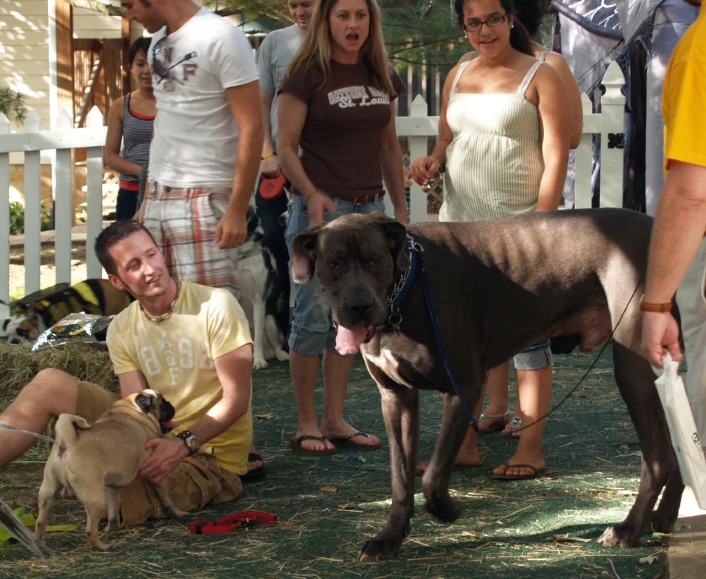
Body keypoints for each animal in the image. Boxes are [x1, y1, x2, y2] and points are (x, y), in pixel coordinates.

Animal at [33, 392, 187, 552]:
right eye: (162, 402)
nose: (170, 404)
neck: (132, 410)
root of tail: (70, 442)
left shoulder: (111, 489)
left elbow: (113, 512)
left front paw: (112, 528)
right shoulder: (156, 474)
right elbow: (166, 498)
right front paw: (177, 513)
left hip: (48, 491)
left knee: (41, 521)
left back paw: (40, 543)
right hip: (95, 499)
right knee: (90, 530)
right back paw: (102, 547)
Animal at [234, 210, 288, 372]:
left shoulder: (259, 300)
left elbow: (257, 337)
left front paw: (258, 361)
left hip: (269, 320)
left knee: (277, 347)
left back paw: (281, 355)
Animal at [292, 208, 680, 560]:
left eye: (374, 260)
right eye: (334, 263)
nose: (359, 307)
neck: (405, 292)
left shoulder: (464, 386)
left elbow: (433, 475)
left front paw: (448, 510)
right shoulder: (396, 397)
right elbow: (400, 479)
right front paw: (389, 538)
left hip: (632, 367)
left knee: (656, 459)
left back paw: (629, 529)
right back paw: (662, 517)